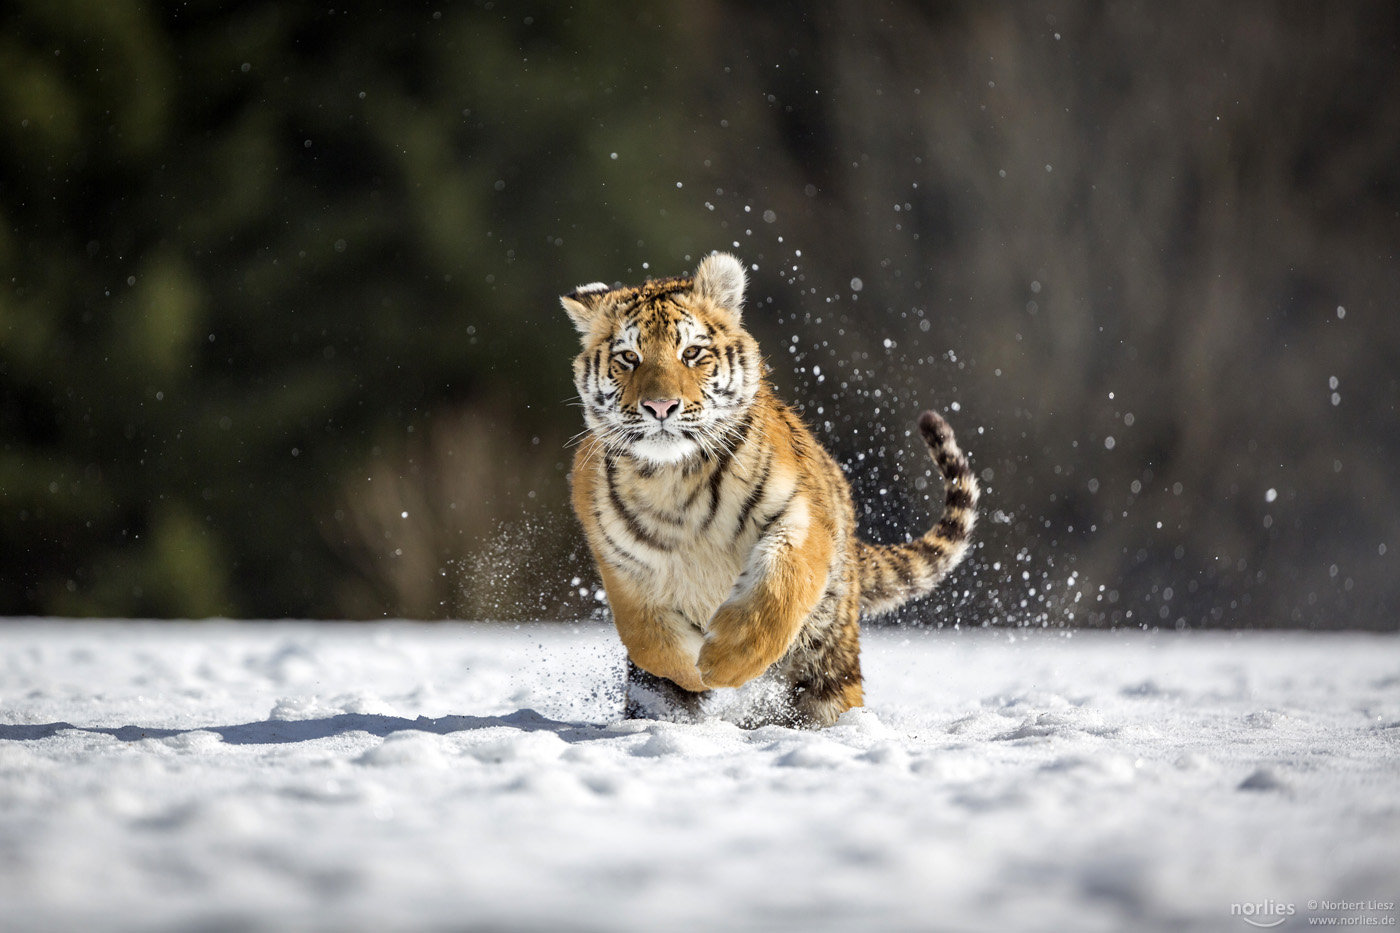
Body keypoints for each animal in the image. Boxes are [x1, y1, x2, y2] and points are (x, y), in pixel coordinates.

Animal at [557, 250, 974, 722]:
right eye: (628, 357)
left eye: (692, 352)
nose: (660, 406)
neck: (673, 477)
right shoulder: (618, 564)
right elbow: (646, 636)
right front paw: (692, 669)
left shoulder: (800, 518)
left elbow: (779, 594)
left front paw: (721, 662)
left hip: (829, 654)